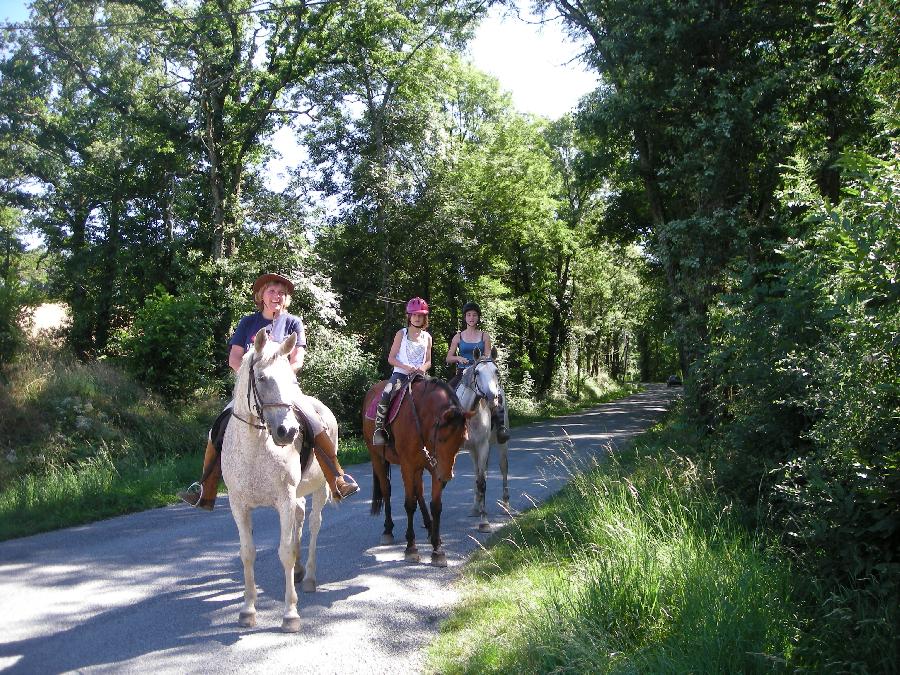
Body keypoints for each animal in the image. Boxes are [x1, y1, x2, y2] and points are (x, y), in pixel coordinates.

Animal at [221, 328, 334, 632]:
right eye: (261, 379)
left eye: (292, 380)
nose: (288, 431)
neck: (255, 447)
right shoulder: (239, 505)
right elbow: (248, 552)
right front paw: (247, 610)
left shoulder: (284, 500)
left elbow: (285, 552)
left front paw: (290, 614)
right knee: (300, 518)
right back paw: (300, 572)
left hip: (320, 489)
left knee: (315, 525)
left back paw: (309, 578)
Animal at [360, 378, 472, 568]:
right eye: (441, 438)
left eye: (463, 440)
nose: (446, 478)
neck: (420, 419)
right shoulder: (408, 466)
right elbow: (409, 505)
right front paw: (411, 548)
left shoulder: (434, 468)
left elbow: (436, 506)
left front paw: (437, 549)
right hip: (377, 457)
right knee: (386, 490)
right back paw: (388, 530)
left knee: (419, 492)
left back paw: (429, 527)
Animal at [454, 354, 510, 532]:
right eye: (477, 372)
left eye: (496, 371)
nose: (493, 398)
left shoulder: (483, 446)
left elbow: (483, 483)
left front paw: (484, 522)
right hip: (473, 451)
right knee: (477, 473)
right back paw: (475, 507)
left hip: (501, 444)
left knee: (503, 468)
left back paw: (506, 506)